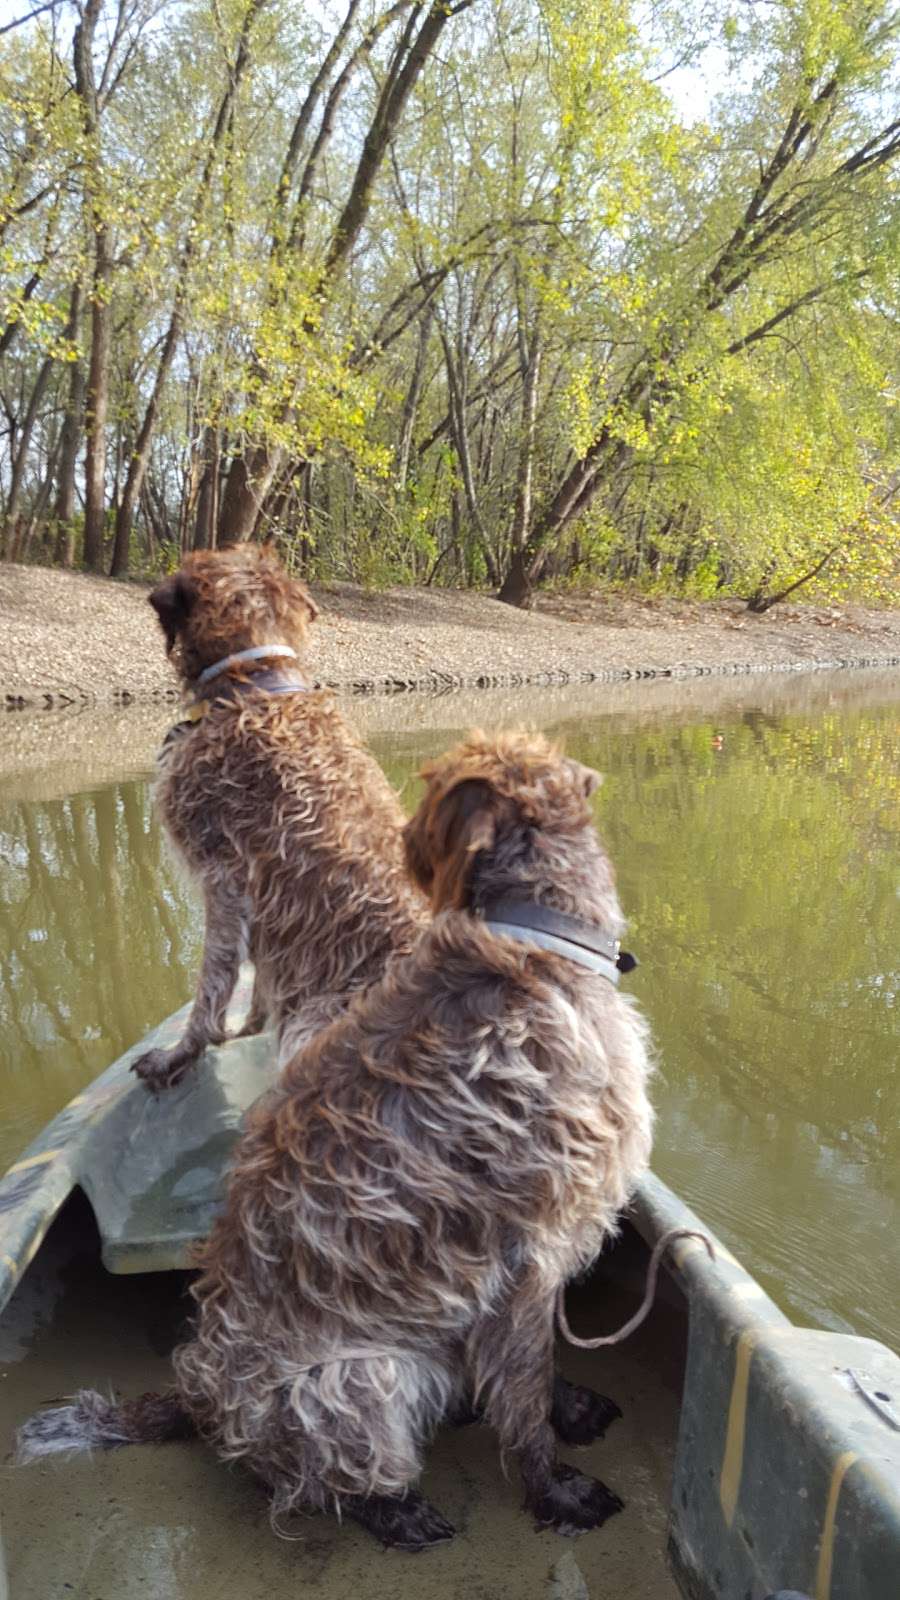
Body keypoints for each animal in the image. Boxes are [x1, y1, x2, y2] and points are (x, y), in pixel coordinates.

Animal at [19, 732, 650, 1548]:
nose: (404, 845)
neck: (532, 944)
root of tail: (197, 1400)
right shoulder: (526, 1252)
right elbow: (526, 1395)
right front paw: (555, 1492)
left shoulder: (533, 1259)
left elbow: (537, 1372)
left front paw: (569, 1413)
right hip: (359, 1379)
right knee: (320, 1479)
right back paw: (396, 1511)